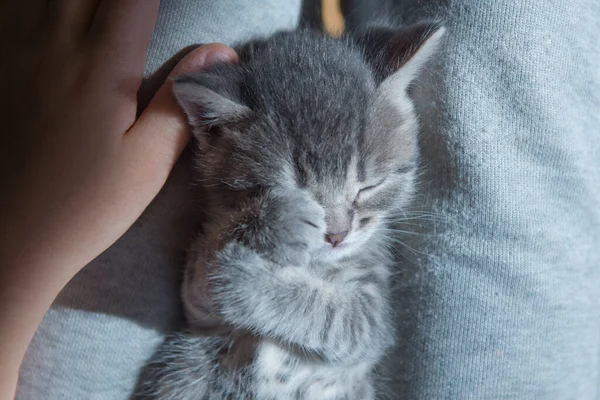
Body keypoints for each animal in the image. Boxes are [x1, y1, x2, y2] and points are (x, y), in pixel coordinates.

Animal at [137, 22, 446, 400]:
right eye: (294, 191)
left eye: (368, 187)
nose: (337, 235)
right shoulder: (197, 306)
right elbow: (204, 263)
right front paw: (275, 220)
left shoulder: (375, 318)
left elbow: (336, 317)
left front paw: (244, 281)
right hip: (184, 365)